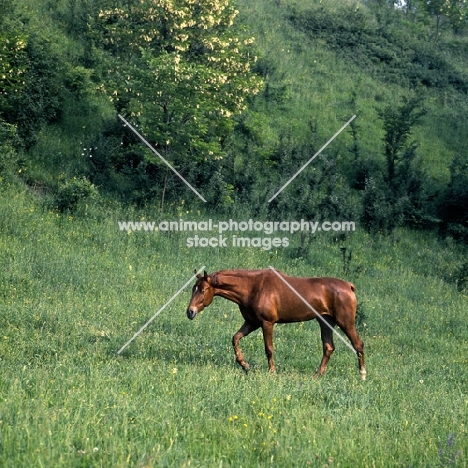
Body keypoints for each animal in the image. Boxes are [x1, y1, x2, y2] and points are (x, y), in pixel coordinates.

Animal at [186, 268, 366, 378]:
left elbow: (269, 349)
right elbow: (235, 339)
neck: (253, 287)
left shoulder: (267, 323)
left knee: (358, 344)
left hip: (345, 323)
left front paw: (272, 371)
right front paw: (245, 365)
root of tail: (349, 286)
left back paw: (362, 374)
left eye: (203, 290)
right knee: (328, 347)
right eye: (193, 288)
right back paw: (317, 375)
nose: (190, 312)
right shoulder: (252, 323)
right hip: (325, 322)